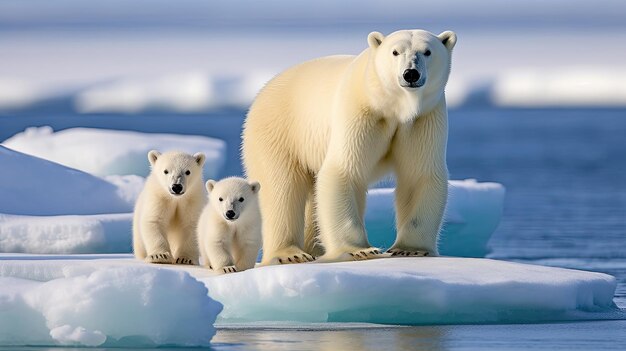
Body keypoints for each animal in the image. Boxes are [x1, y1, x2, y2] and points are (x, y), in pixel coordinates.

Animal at [243, 30, 454, 266]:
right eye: (395, 52)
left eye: (427, 51)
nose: (410, 74)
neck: (392, 106)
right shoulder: (359, 111)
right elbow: (345, 171)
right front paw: (359, 251)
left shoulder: (423, 119)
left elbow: (419, 175)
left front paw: (411, 250)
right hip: (278, 132)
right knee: (281, 188)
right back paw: (290, 253)